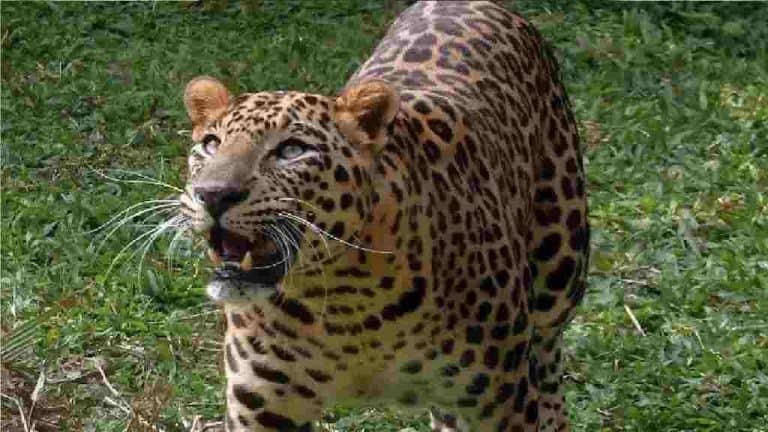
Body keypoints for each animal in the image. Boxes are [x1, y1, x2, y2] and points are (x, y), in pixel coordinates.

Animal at [177, 2, 588, 431]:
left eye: (292, 150)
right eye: (211, 144)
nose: (213, 195)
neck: (348, 304)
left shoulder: (498, 403)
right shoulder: (262, 408)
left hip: (560, 270)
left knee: (548, 361)